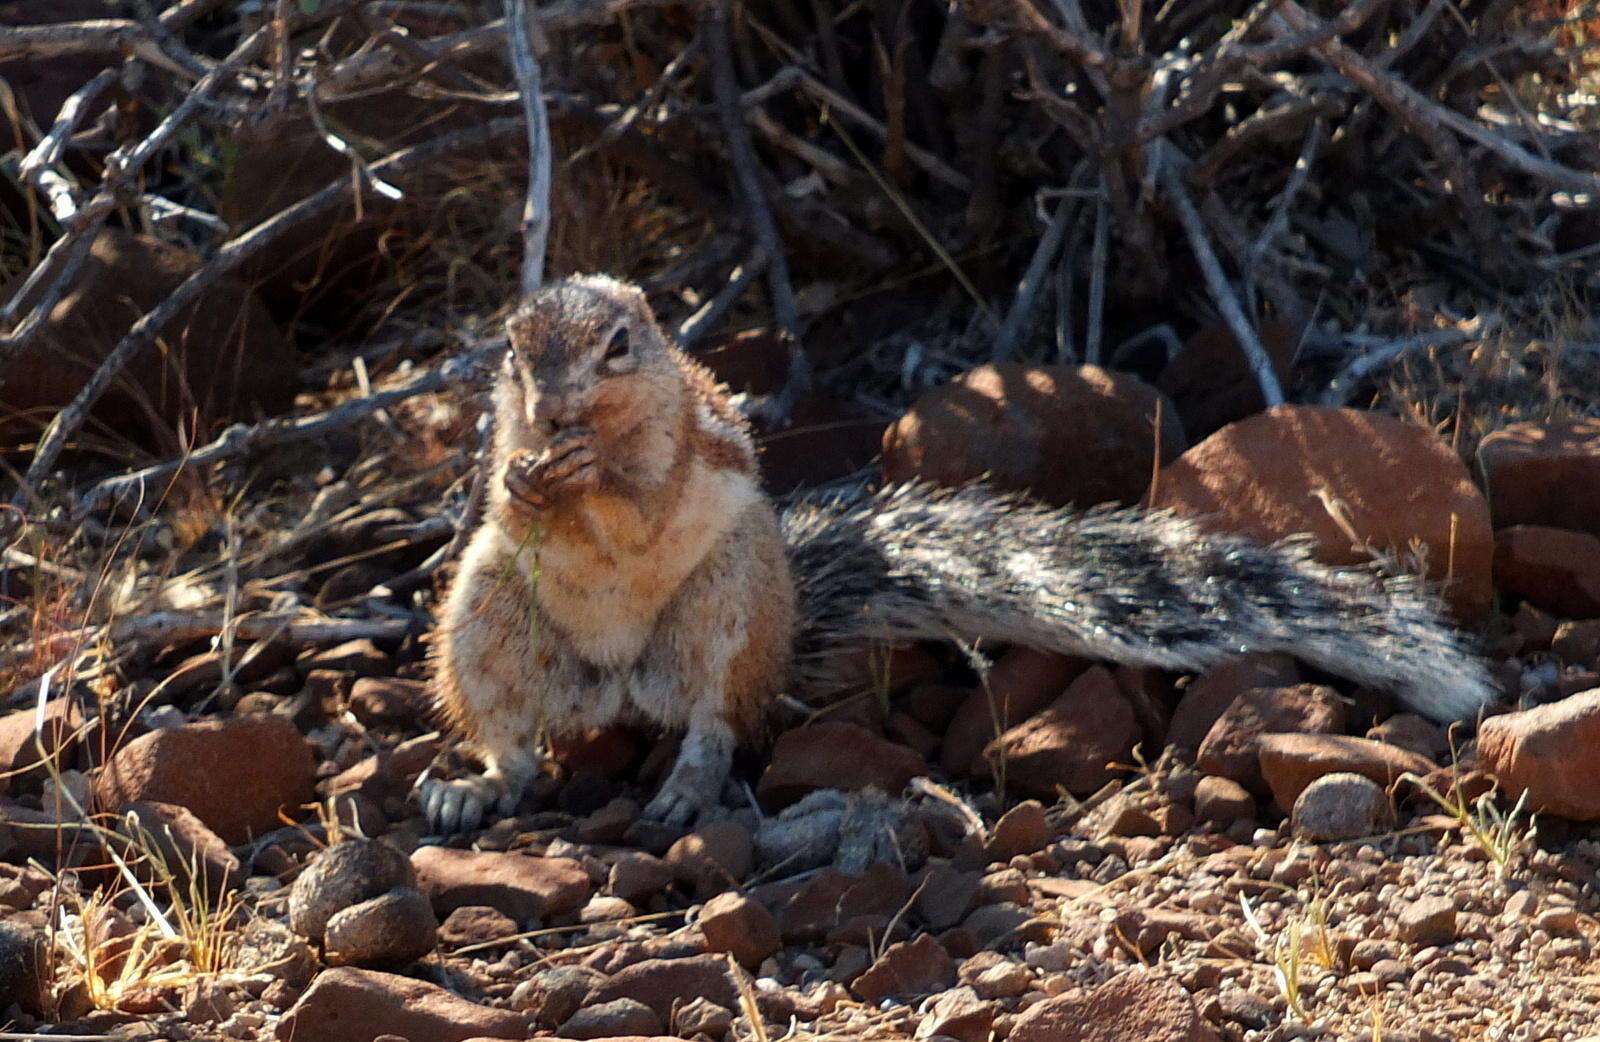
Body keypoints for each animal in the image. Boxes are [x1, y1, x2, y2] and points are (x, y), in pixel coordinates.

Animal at [419, 273, 1491, 838]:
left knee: (718, 723)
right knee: (517, 743)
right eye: (511, 351)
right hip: (487, 618)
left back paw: (685, 784)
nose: (552, 408)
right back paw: (470, 789)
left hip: (727, 605)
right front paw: (526, 481)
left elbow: (640, 507)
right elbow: (511, 509)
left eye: (618, 344)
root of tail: (620, 688)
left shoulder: (682, 445)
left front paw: (590, 473)